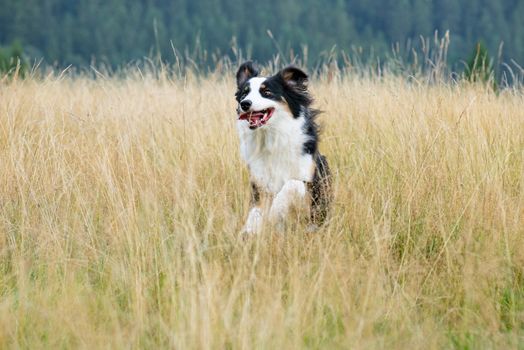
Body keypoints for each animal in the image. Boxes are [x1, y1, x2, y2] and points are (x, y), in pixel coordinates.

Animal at [236, 61, 334, 234]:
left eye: (267, 92)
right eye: (244, 93)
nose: (245, 104)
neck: (271, 138)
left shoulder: (310, 181)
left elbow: (292, 184)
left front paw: (275, 211)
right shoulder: (259, 183)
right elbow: (256, 210)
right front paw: (250, 230)